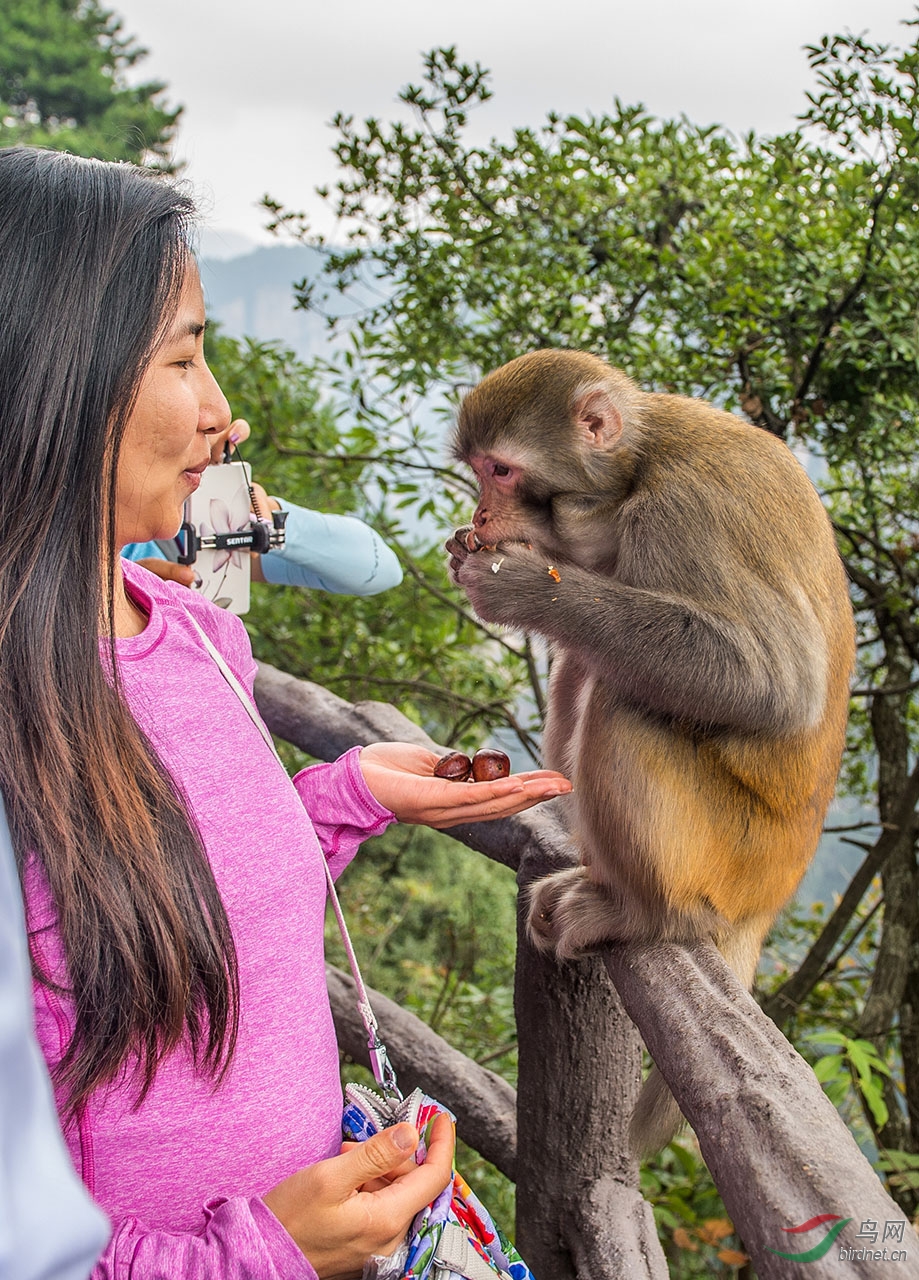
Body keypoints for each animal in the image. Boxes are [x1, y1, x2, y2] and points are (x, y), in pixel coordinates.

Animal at [445, 348, 855, 1152]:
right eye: (477, 470)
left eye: (501, 471)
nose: (479, 516)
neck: (639, 464)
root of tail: (771, 895)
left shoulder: (681, 514)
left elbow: (775, 683)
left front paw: (517, 587)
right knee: (588, 666)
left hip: (729, 855)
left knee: (625, 700)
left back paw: (643, 916)